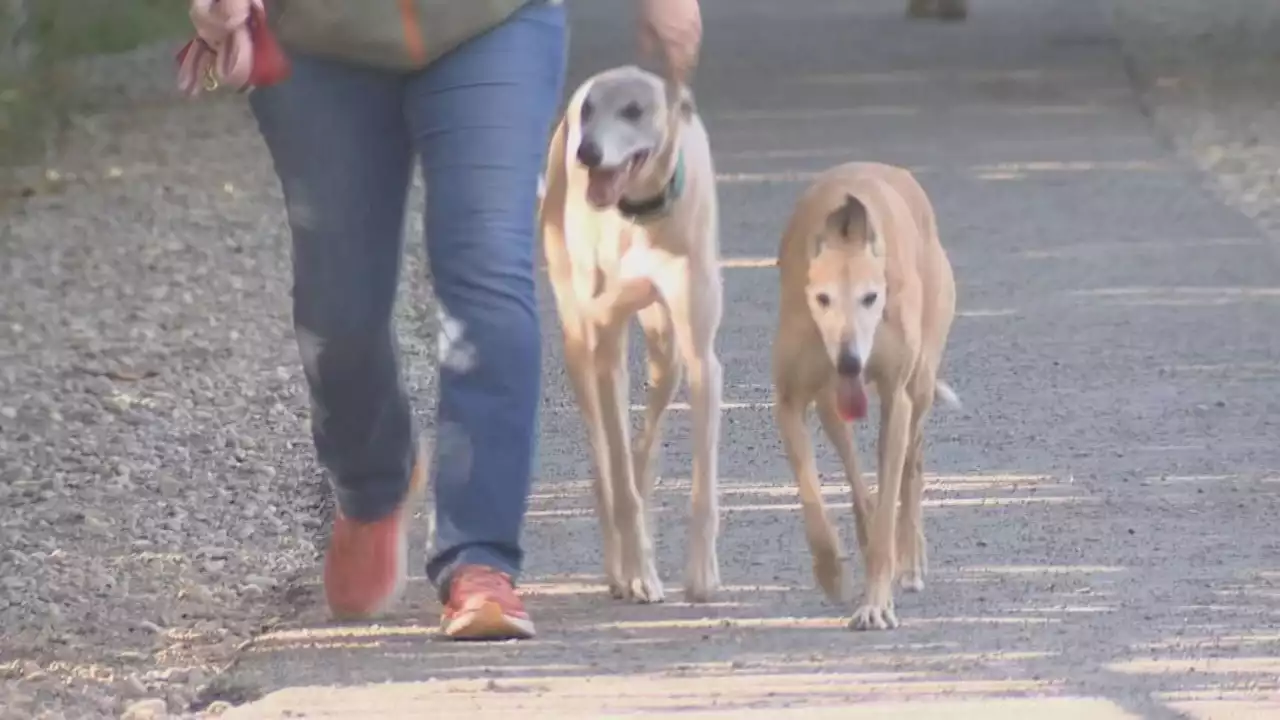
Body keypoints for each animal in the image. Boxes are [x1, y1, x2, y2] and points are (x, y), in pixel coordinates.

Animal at [535, 65, 727, 599]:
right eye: (588, 110)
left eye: (634, 111)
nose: (587, 152)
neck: (642, 214)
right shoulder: (604, 346)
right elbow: (618, 474)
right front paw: (639, 572)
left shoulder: (702, 359)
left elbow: (701, 484)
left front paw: (701, 574)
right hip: (577, 342)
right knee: (607, 463)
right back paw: (620, 564)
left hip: (667, 351)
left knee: (648, 435)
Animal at [768, 161, 962, 627]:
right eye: (822, 298)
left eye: (870, 297)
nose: (850, 362)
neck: (845, 231)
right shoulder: (790, 401)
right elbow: (813, 501)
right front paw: (832, 574)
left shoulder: (897, 400)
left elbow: (892, 491)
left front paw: (876, 602)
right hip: (829, 404)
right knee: (854, 469)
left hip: (920, 385)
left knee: (912, 463)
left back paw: (910, 560)